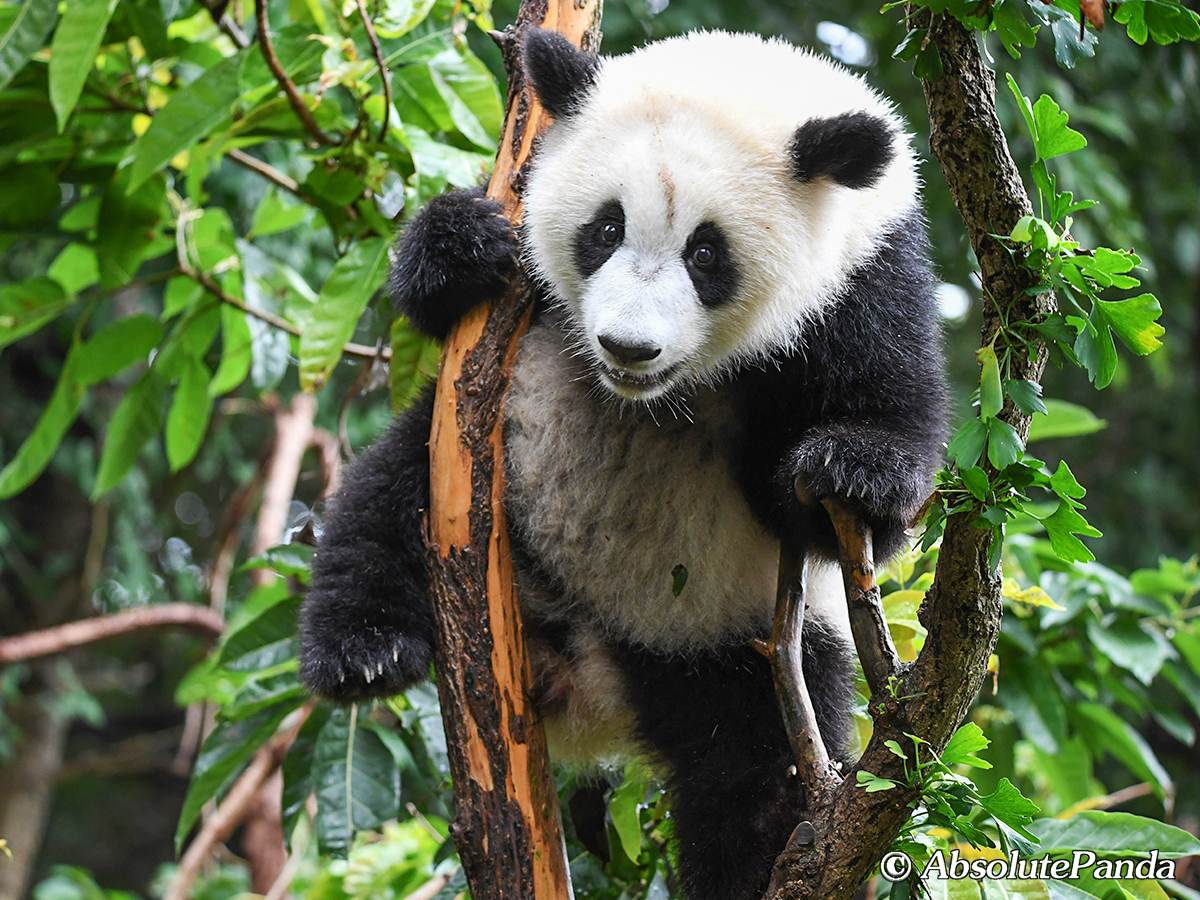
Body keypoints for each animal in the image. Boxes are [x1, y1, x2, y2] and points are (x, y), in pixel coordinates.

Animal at [299, 28, 946, 900]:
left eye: (707, 253)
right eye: (604, 230)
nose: (628, 348)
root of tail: (593, 678)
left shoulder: (868, 277)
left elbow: (853, 500)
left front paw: (853, 470)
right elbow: (444, 306)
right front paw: (460, 244)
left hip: (745, 645)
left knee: (757, 780)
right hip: (468, 481)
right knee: (384, 500)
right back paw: (364, 651)